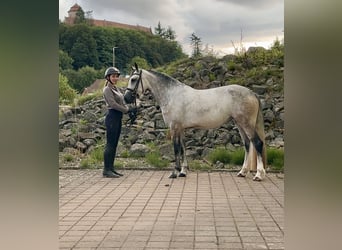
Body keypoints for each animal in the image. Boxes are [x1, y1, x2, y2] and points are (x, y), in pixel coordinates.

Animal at [123, 63, 268, 181]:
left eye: (134, 79)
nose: (126, 98)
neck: (171, 95)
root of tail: (252, 93)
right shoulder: (180, 128)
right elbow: (183, 148)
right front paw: (183, 172)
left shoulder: (174, 127)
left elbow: (176, 149)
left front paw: (174, 173)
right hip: (239, 124)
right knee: (247, 145)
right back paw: (242, 172)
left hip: (246, 124)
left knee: (257, 143)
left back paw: (258, 175)